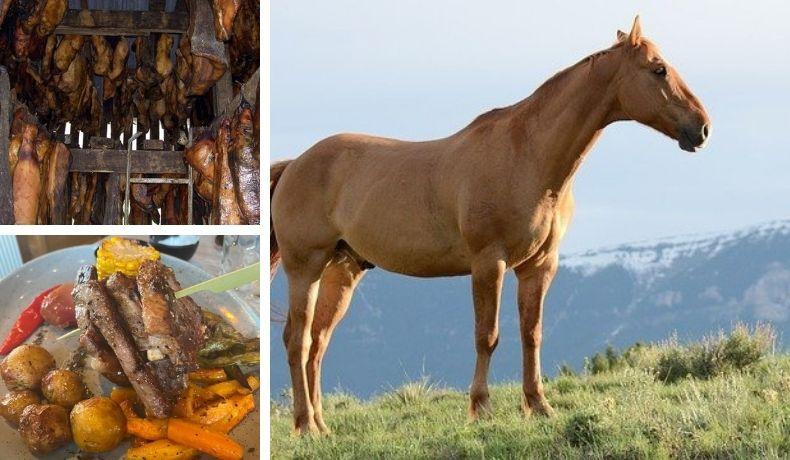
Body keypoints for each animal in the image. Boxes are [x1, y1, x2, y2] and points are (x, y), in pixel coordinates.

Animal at [271, 16, 711, 435]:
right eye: (658, 69)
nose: (702, 127)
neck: (527, 157)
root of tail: (295, 164)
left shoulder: (539, 265)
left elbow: (532, 334)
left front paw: (539, 405)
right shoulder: (489, 262)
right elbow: (488, 335)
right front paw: (480, 409)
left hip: (341, 271)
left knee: (317, 343)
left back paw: (321, 425)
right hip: (305, 267)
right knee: (298, 340)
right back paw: (305, 426)